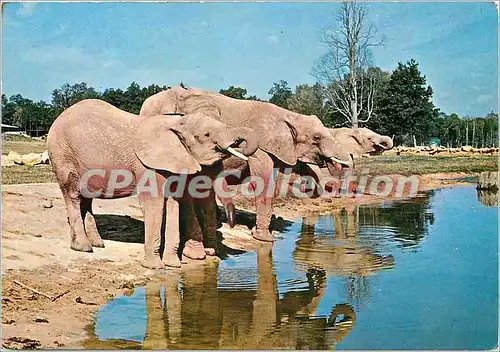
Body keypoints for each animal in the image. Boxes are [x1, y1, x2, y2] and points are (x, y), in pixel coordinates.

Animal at [47, 99, 258, 270]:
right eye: (206, 135)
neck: (175, 123)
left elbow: (173, 203)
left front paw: (173, 265)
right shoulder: (146, 164)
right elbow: (154, 203)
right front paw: (155, 267)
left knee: (87, 198)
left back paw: (97, 243)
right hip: (62, 155)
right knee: (73, 193)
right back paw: (83, 247)